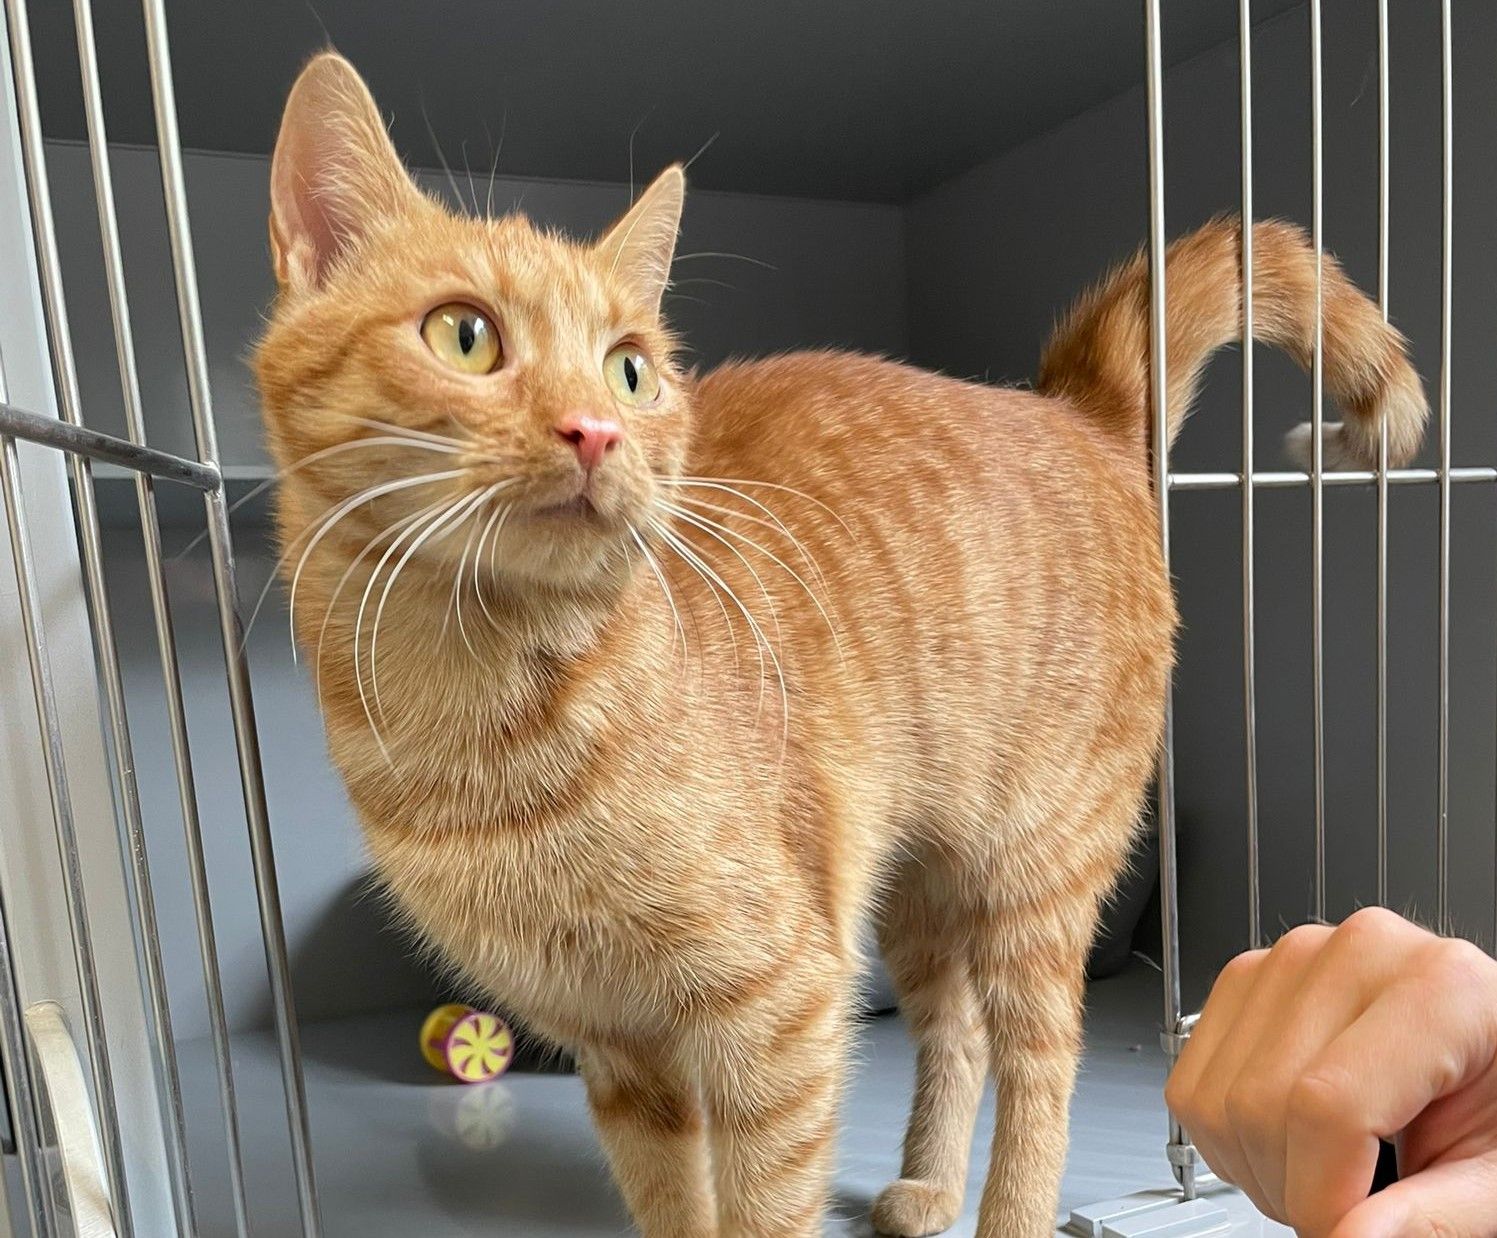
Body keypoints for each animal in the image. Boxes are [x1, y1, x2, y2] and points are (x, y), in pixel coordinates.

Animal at [255, 53, 1427, 1238]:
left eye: (630, 370)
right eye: (465, 334)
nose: (598, 430)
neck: (478, 709)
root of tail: (1076, 411)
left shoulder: (776, 1009)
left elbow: (765, 1204)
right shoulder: (624, 1054)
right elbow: (676, 1204)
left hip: (1036, 873)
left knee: (1039, 1057)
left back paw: (1005, 1210)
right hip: (914, 890)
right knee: (954, 1031)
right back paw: (927, 1185)